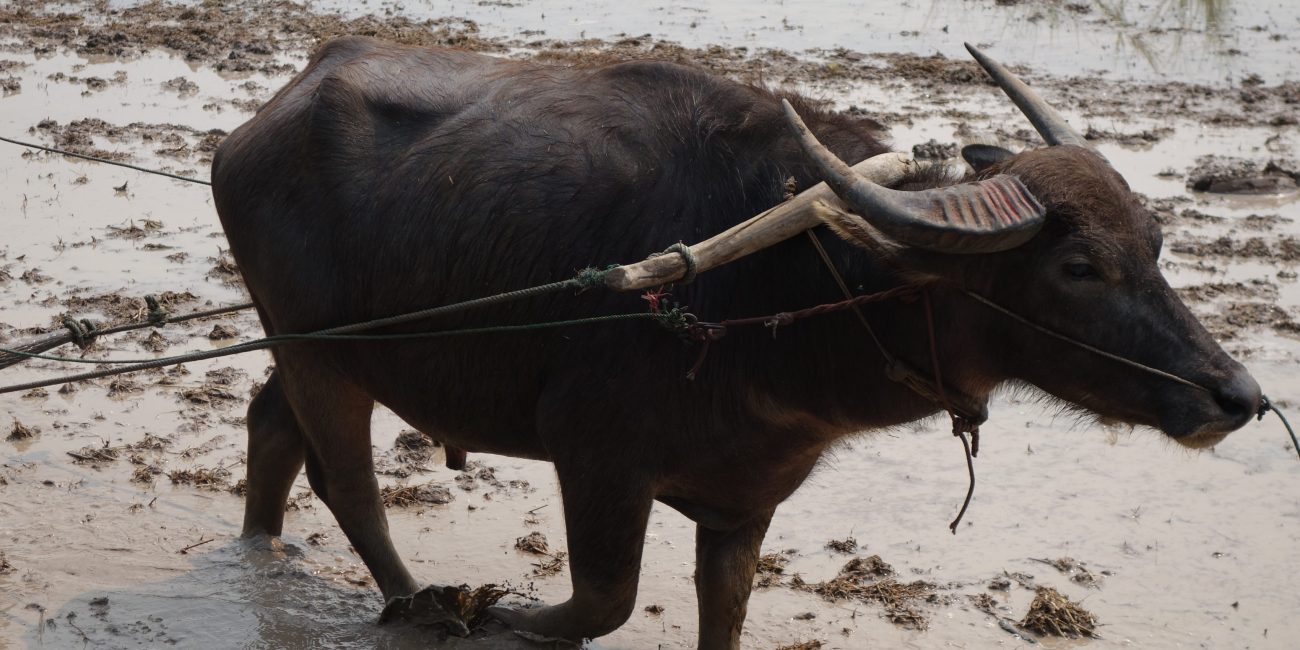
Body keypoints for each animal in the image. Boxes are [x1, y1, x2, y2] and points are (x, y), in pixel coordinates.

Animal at [210, 36, 1258, 650]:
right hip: (316, 348)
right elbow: (600, 603)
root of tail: (271, 114)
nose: (1237, 397)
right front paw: (496, 612)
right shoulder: (595, 457)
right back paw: (420, 600)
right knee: (350, 483)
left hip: (316, 347)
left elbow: (727, 608)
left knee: (273, 426)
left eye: (1155, 242)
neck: (791, 286)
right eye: (1078, 267)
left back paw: (264, 546)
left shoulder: (748, 501)